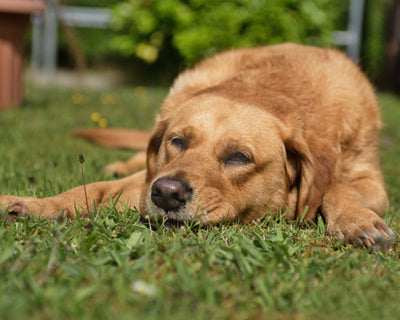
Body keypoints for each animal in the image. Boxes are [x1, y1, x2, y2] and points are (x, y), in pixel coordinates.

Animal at [0, 43, 394, 251]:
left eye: (239, 157)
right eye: (178, 141)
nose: (167, 193)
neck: (270, 90)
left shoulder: (372, 181)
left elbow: (335, 186)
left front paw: (356, 221)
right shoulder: (151, 177)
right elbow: (89, 190)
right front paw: (32, 204)